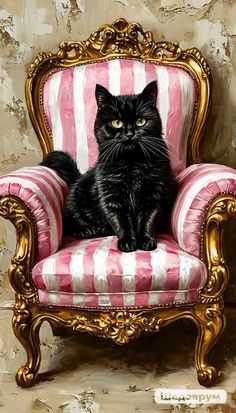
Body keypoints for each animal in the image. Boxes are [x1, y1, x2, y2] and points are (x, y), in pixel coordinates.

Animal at [41, 80, 176, 251]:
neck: (132, 164)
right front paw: (127, 242)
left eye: (140, 121)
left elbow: (148, 219)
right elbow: (121, 221)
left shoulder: (155, 193)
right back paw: (88, 230)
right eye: (116, 123)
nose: (129, 134)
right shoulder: (111, 197)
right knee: (69, 223)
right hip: (74, 203)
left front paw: (146, 240)